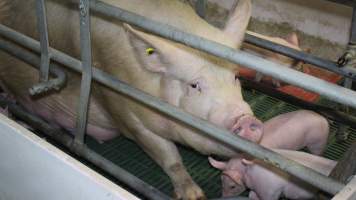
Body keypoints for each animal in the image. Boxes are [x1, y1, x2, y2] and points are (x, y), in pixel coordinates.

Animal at [0, 0, 258, 198]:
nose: (245, 119)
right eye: (194, 85)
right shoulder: (122, 109)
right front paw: (194, 195)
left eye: (235, 77)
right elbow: (168, 156)